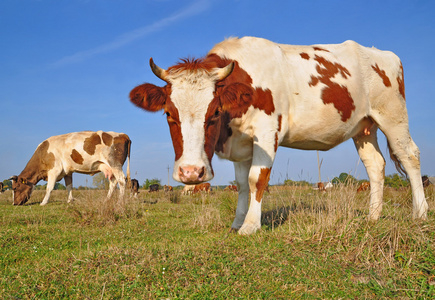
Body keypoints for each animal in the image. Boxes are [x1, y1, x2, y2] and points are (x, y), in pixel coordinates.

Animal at [130, 36, 430, 234]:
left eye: (214, 112)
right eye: (168, 114)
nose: (191, 173)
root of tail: (384, 53)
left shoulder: (267, 132)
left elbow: (256, 179)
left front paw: (251, 226)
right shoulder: (241, 143)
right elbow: (241, 184)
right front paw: (238, 221)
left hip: (393, 116)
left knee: (410, 156)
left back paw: (421, 213)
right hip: (364, 127)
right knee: (375, 165)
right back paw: (373, 217)